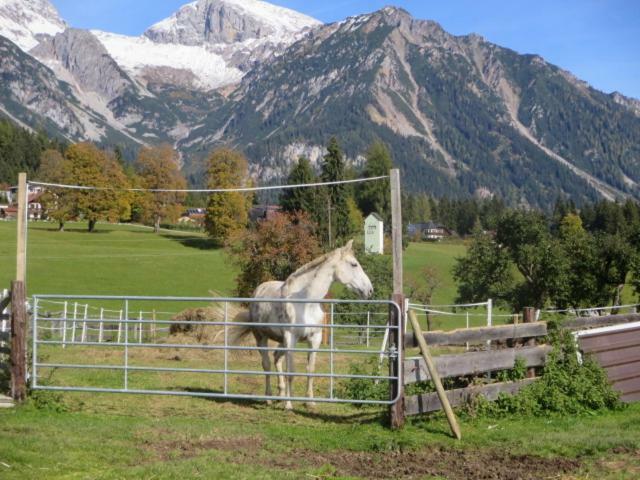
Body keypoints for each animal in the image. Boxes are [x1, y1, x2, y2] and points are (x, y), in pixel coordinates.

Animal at [234, 240, 376, 408]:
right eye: (354, 264)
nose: (369, 290)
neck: (305, 302)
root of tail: (258, 290)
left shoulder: (314, 339)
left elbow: (310, 370)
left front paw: (310, 402)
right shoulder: (291, 339)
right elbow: (291, 371)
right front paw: (289, 405)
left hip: (281, 341)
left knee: (276, 358)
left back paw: (280, 395)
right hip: (261, 337)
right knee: (267, 364)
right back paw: (269, 398)